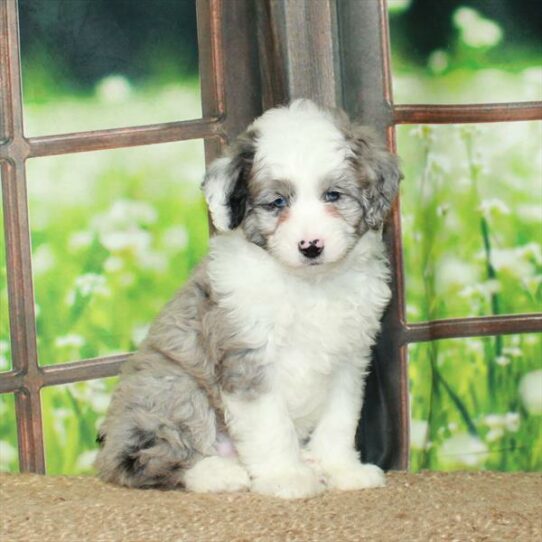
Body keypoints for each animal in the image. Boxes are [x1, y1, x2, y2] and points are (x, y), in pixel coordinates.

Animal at [95, 99, 404, 502]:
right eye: (277, 203)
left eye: (333, 196)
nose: (311, 246)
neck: (309, 285)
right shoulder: (248, 359)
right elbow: (272, 426)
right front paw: (286, 477)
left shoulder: (348, 359)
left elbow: (339, 420)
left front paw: (341, 469)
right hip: (171, 386)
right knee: (148, 458)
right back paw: (221, 473)